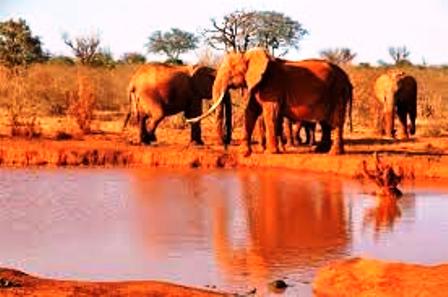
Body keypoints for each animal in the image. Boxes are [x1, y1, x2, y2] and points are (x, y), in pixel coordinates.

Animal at [186, 47, 354, 156]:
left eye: (230, 71)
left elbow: (270, 114)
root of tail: (346, 78)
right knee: (326, 123)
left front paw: (270, 152)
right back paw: (321, 150)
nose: (226, 147)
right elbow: (250, 112)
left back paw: (333, 153)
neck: (248, 54)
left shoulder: (272, 86)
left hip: (337, 91)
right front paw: (244, 152)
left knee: (336, 121)